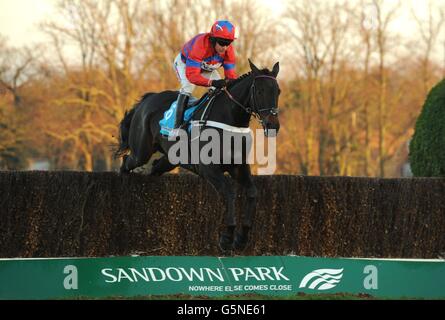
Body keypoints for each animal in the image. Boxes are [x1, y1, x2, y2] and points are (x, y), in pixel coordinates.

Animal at [115, 58, 280, 251]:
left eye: (278, 91)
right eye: (260, 91)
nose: (273, 125)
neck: (230, 119)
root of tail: (147, 99)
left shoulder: (238, 167)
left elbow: (252, 193)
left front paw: (242, 238)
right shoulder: (208, 168)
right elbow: (229, 193)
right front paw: (226, 237)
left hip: (169, 159)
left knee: (153, 169)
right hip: (142, 151)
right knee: (127, 161)